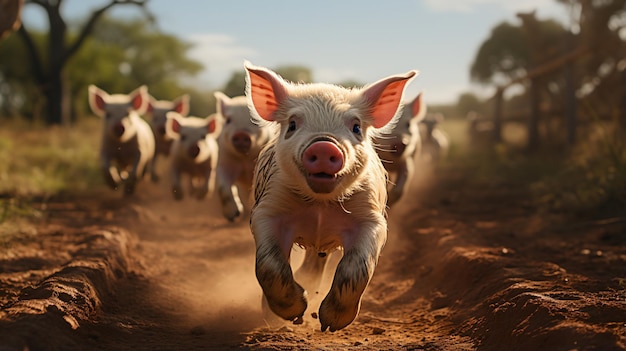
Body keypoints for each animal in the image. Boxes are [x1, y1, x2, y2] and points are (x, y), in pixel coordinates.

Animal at [213, 91, 274, 223]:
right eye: (228, 120)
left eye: (255, 121)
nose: (241, 134)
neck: (244, 159)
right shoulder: (224, 161)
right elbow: (222, 186)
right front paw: (233, 216)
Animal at [246, 61, 416, 332]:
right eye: (292, 124)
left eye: (356, 127)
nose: (324, 145)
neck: (320, 206)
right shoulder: (267, 209)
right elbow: (269, 264)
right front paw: (294, 313)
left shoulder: (372, 218)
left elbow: (356, 269)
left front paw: (330, 324)